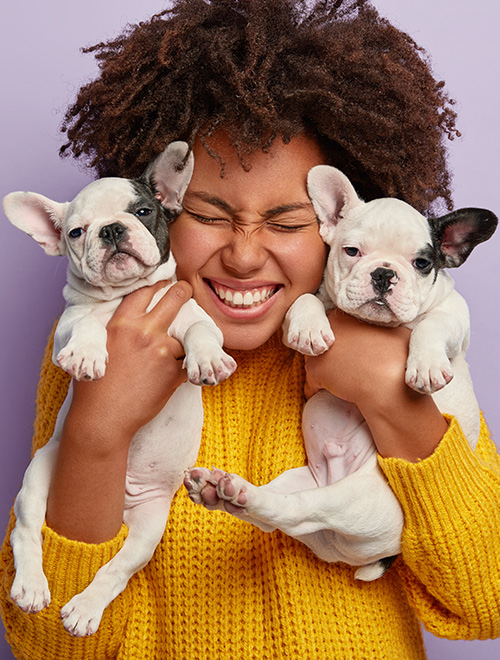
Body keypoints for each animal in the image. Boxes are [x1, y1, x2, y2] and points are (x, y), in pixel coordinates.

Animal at [3, 142, 238, 636]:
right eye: (76, 232)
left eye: (143, 211)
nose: (112, 230)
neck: (124, 297)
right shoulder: (68, 325)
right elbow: (88, 324)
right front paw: (88, 354)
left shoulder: (192, 315)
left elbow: (201, 332)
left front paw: (208, 360)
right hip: (39, 475)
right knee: (26, 531)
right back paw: (32, 587)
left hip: (149, 527)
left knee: (117, 568)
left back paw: (85, 608)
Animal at [184, 165, 496, 584]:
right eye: (351, 252)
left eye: (422, 263)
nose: (383, 274)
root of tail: (342, 550)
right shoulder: (314, 299)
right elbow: (305, 298)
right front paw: (309, 329)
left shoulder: (455, 317)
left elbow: (432, 327)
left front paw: (427, 366)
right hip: (303, 482)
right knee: (284, 513)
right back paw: (220, 490)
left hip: (358, 499)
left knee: (295, 511)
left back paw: (228, 492)